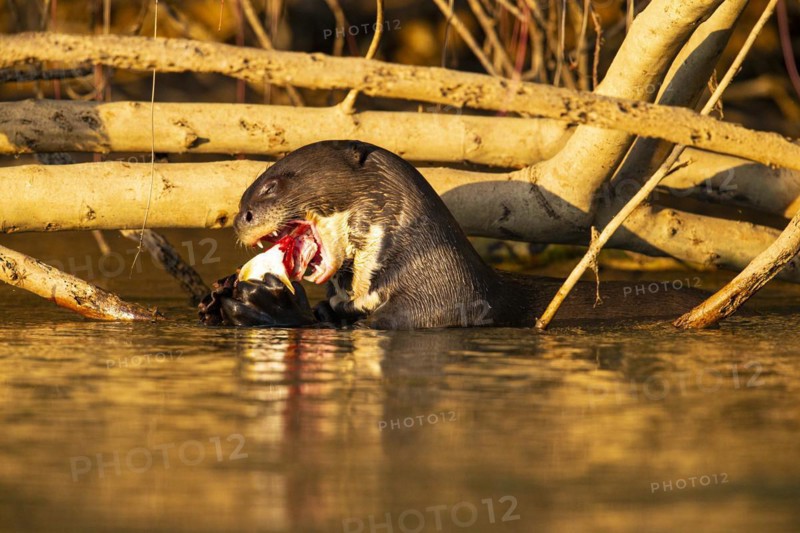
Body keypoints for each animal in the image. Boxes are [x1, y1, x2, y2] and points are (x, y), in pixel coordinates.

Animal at [200, 140, 706, 329]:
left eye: (273, 183)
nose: (241, 216)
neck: (428, 271)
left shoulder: (432, 308)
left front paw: (268, 304)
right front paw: (213, 298)